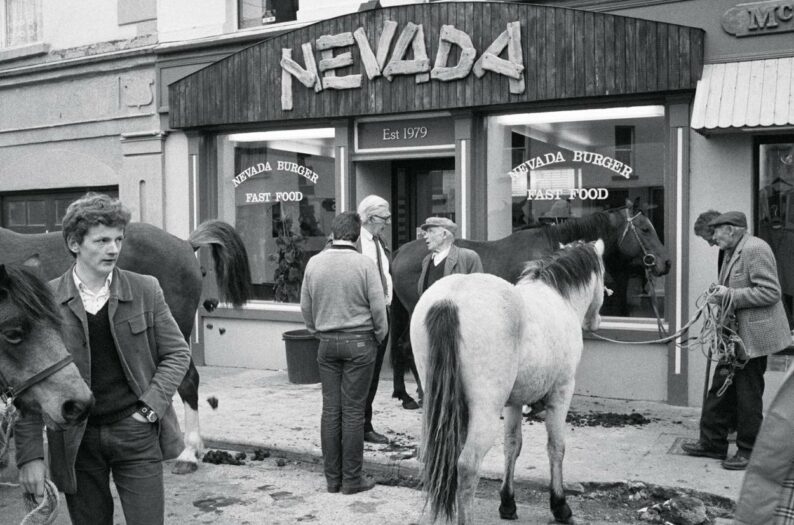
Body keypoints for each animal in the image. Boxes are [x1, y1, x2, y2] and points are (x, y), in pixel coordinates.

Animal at [388, 204, 668, 402]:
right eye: (645, 229)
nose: (666, 263)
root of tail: (400, 251)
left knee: (402, 345)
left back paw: (408, 395)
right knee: (409, 346)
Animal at [412, 239, 604, 520]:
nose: (595, 322)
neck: (558, 299)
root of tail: (450, 300)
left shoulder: (514, 402)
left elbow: (512, 445)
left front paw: (508, 502)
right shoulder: (562, 391)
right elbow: (556, 446)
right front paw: (560, 505)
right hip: (485, 411)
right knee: (467, 465)